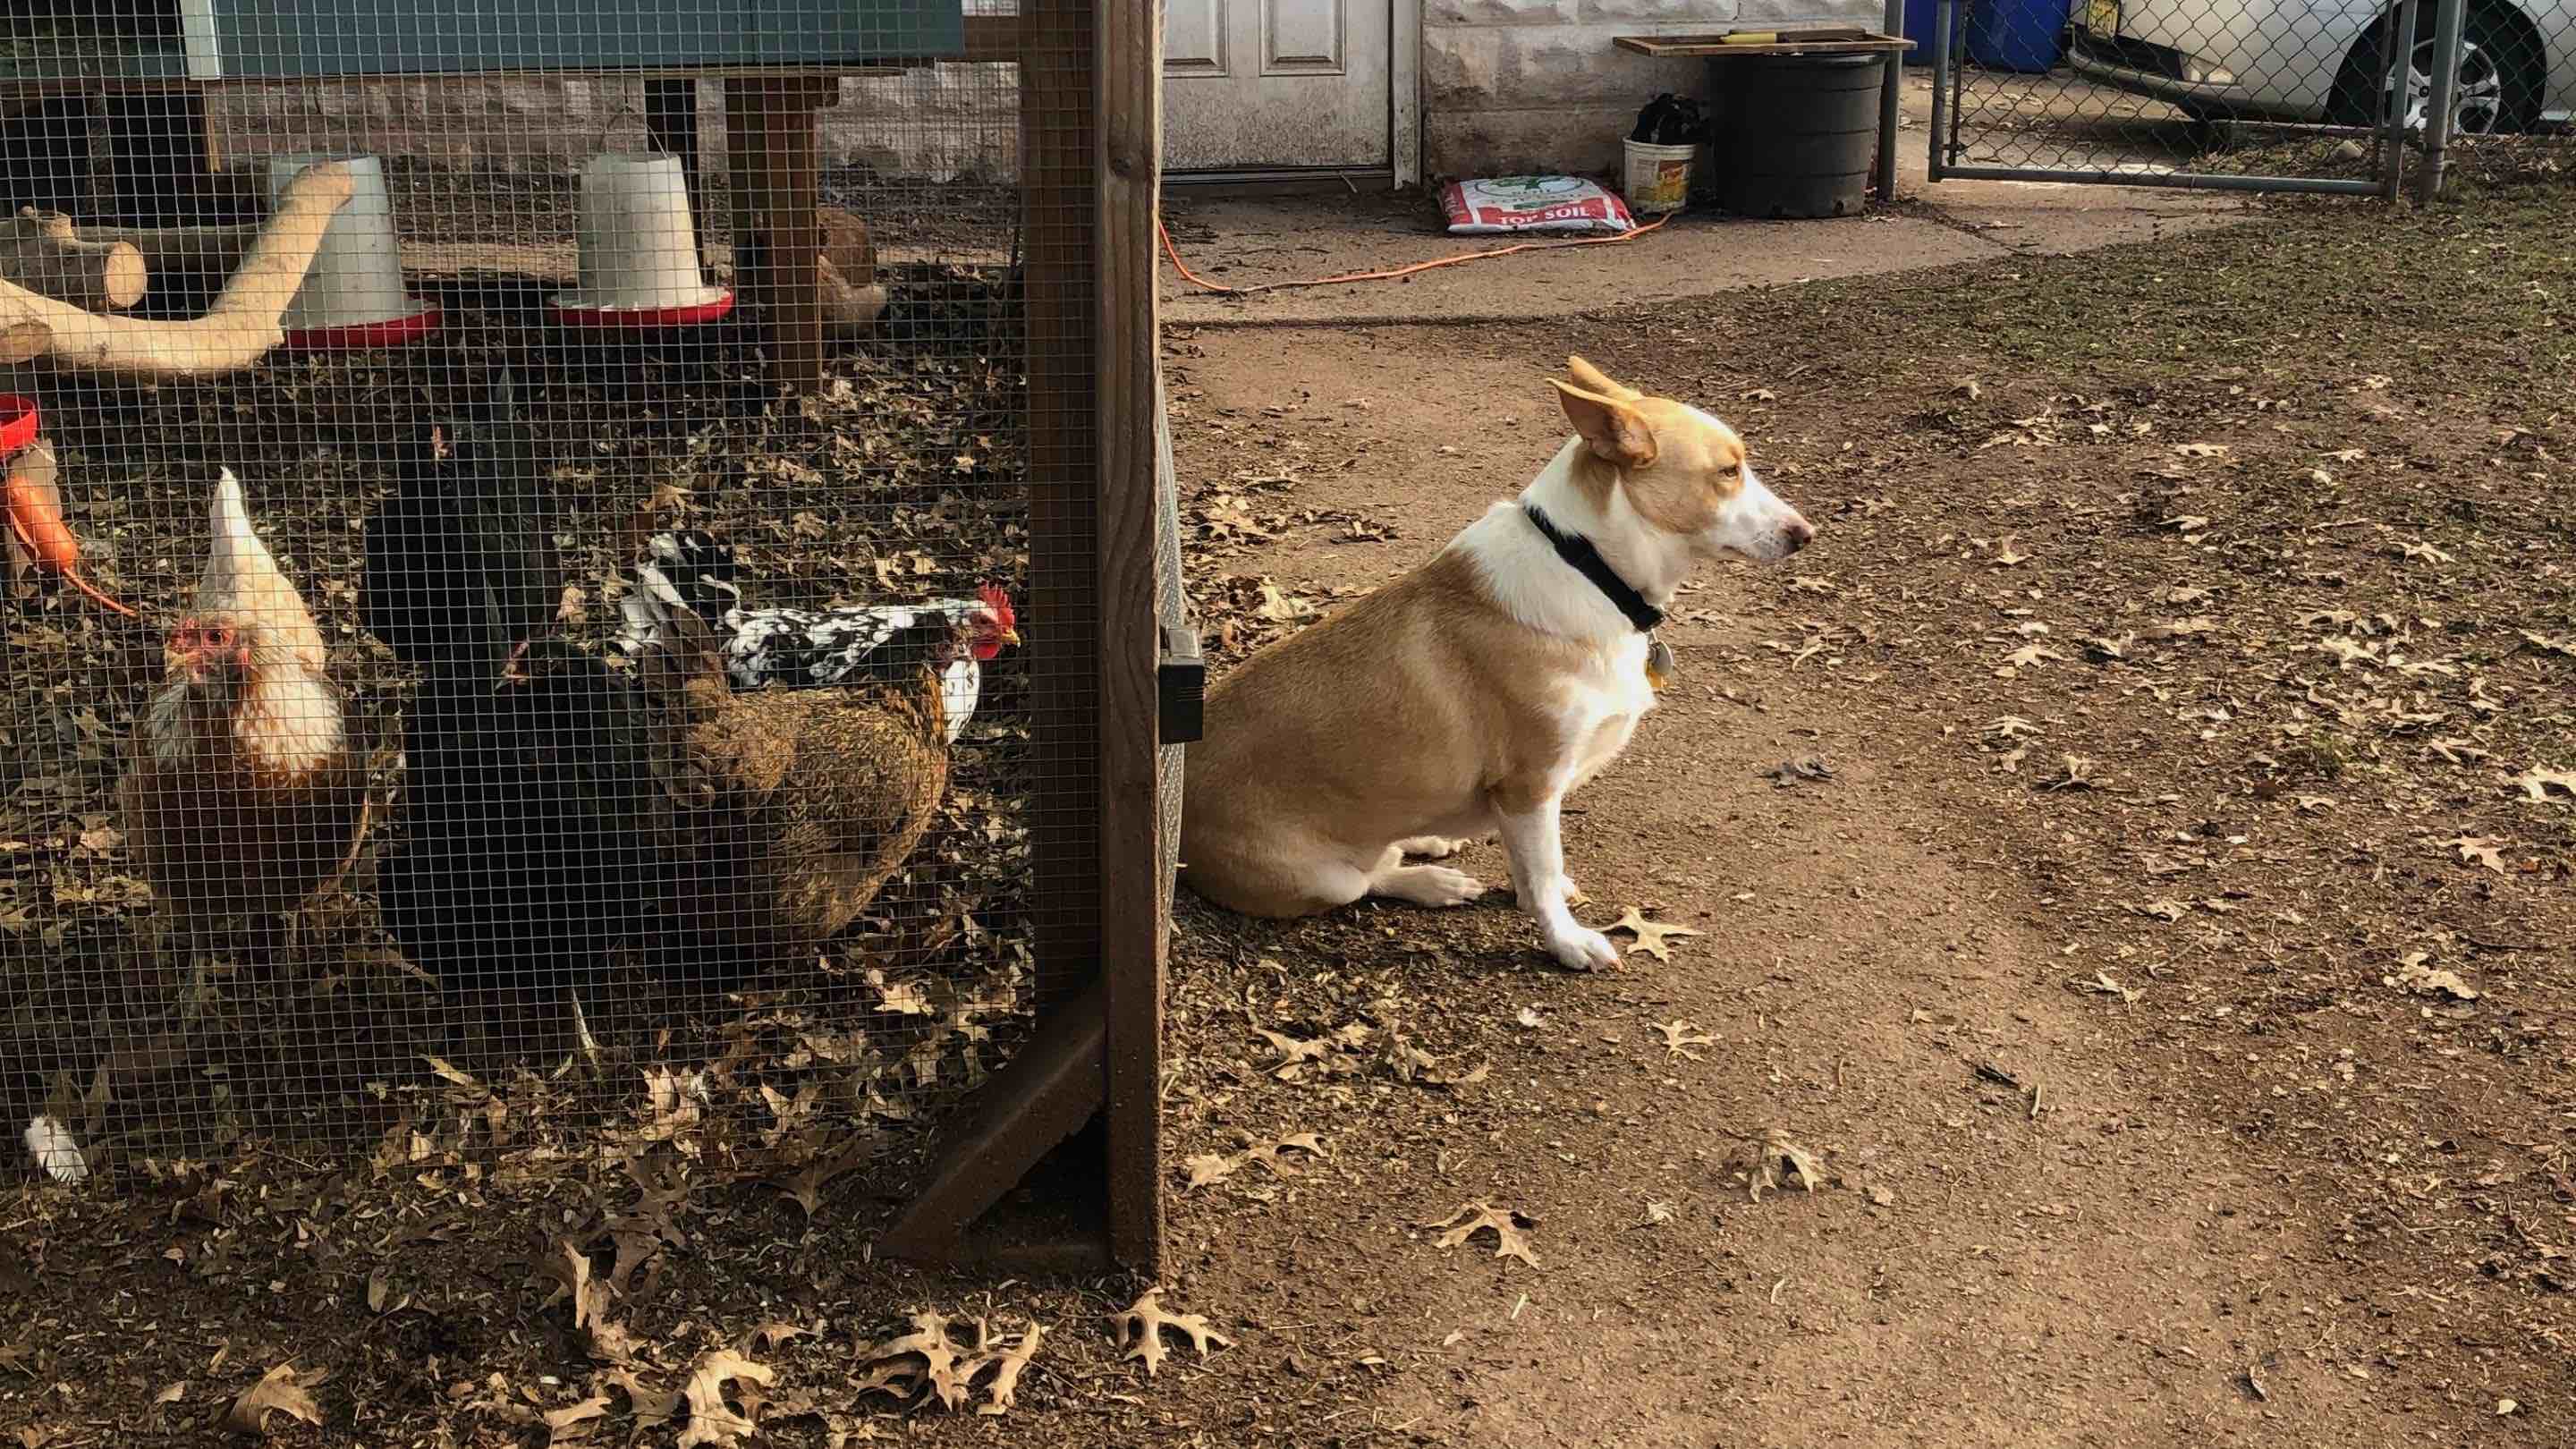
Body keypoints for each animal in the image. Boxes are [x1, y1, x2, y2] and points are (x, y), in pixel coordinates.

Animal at [1180, 355, 1824, 969]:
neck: (1588, 566)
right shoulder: (1531, 786)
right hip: (1324, 878)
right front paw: (1567, 941)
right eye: (1728, 472)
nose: (1806, 534)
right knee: (1366, 880)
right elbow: (1541, 873)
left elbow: (1536, 868)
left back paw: (1427, 846)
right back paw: (1432, 880)